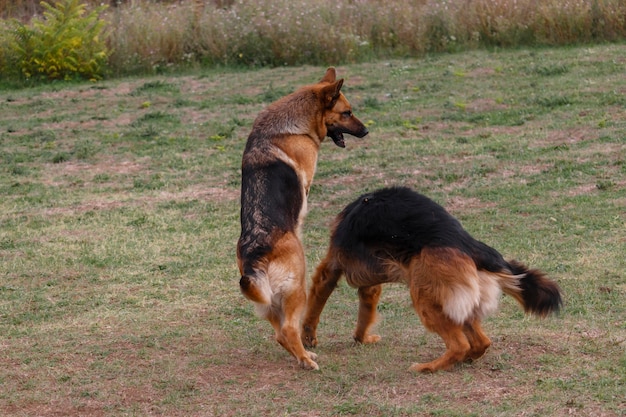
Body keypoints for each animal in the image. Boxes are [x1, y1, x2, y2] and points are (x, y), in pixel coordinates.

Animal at [236, 67, 368, 368]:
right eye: (347, 113)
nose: (367, 131)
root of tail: (255, 254)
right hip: (297, 288)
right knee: (288, 330)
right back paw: (308, 361)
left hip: (270, 301)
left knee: (280, 334)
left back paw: (304, 356)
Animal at [300, 185, 560, 370]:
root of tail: (467, 244)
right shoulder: (370, 285)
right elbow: (366, 312)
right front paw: (361, 338)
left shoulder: (331, 267)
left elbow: (315, 305)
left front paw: (308, 337)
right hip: (455, 301)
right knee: (481, 342)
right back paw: (466, 359)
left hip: (425, 297)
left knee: (458, 345)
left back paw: (428, 367)